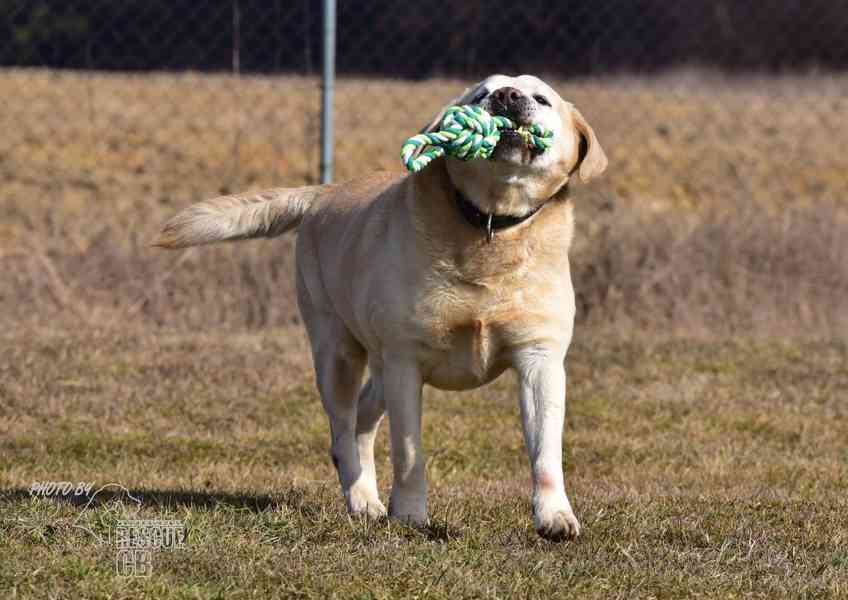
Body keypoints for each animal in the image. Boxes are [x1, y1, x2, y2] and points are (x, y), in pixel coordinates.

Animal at [156, 75, 608, 540]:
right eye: (481, 94)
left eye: (540, 98)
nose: (506, 97)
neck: (489, 225)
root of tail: (324, 192)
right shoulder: (405, 361)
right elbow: (409, 453)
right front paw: (409, 514)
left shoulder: (540, 360)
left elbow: (546, 453)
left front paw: (555, 516)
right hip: (337, 352)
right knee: (342, 430)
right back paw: (363, 501)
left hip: (379, 367)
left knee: (362, 419)